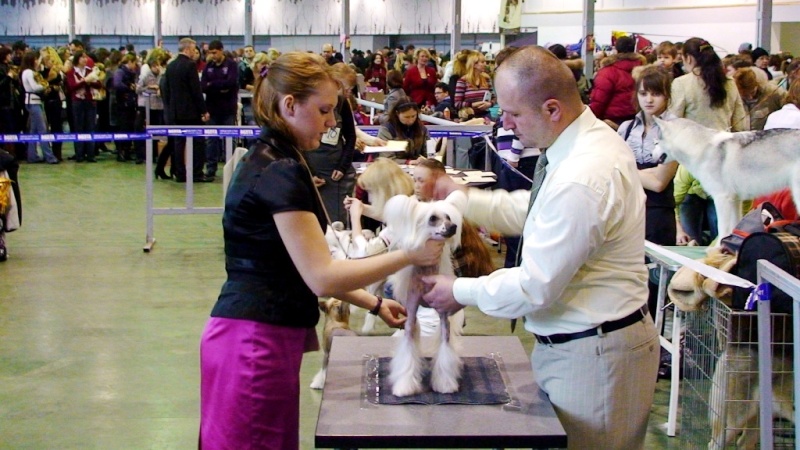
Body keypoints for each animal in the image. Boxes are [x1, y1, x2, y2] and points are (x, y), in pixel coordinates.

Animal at [384, 192, 466, 396]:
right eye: (433, 218)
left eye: (449, 217)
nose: (453, 227)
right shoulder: (411, 314)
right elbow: (407, 348)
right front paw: (404, 386)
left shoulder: (444, 316)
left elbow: (445, 347)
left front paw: (445, 384)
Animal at [648, 118, 800, 241]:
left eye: (656, 143)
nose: (649, 155)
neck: (701, 148)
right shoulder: (735, 200)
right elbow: (733, 227)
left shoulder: (722, 198)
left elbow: (722, 228)